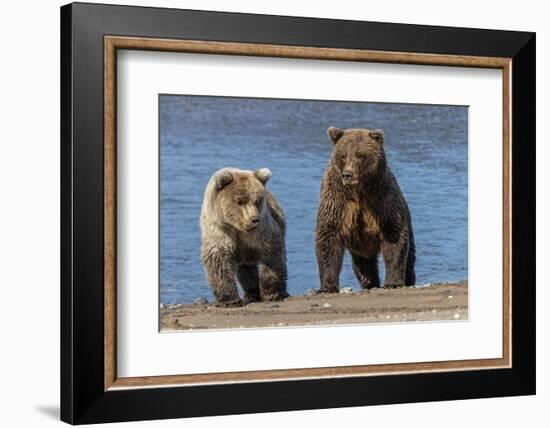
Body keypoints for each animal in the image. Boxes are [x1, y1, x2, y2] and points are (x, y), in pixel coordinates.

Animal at [202, 168, 288, 308]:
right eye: (240, 201)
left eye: (257, 200)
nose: (254, 219)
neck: (238, 227)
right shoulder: (220, 229)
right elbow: (219, 259)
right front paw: (229, 300)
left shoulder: (261, 230)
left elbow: (271, 254)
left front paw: (272, 294)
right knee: (246, 270)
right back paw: (251, 293)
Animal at [316, 126, 416, 290]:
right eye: (343, 155)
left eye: (360, 155)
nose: (347, 174)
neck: (359, 191)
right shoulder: (338, 203)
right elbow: (328, 237)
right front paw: (328, 286)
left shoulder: (381, 200)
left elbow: (395, 236)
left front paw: (393, 282)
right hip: (360, 248)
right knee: (363, 266)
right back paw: (370, 282)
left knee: (410, 257)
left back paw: (408, 279)